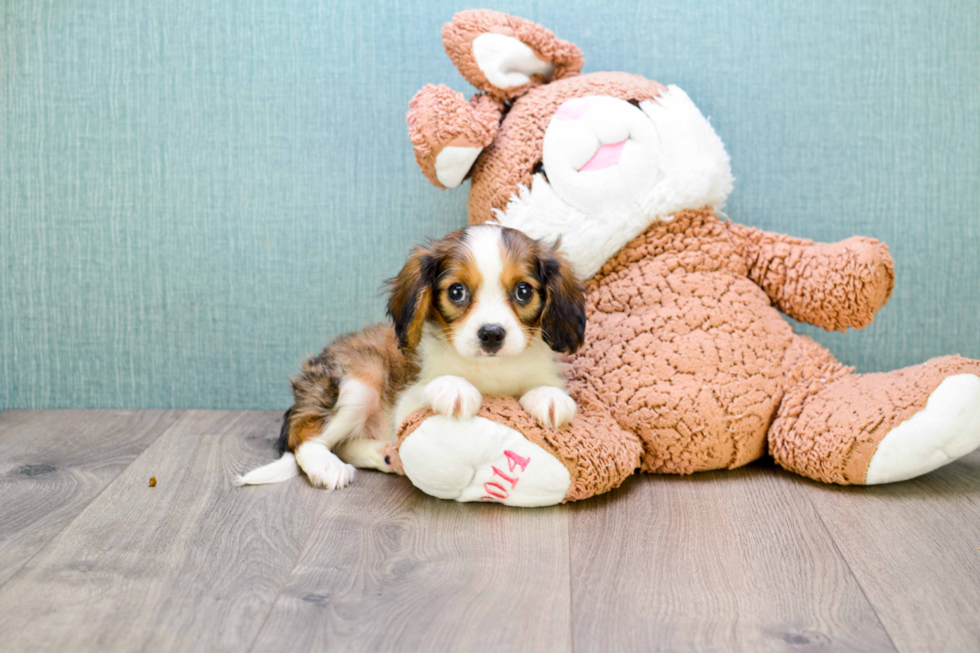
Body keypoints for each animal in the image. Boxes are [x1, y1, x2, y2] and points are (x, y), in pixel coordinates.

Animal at [238, 224, 584, 488]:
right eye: (456, 291)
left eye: (523, 291)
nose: (491, 334)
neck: (490, 370)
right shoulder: (405, 404)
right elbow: (432, 387)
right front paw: (453, 388)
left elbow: (543, 385)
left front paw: (548, 397)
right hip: (362, 378)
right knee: (304, 438)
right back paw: (327, 466)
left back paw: (385, 454)